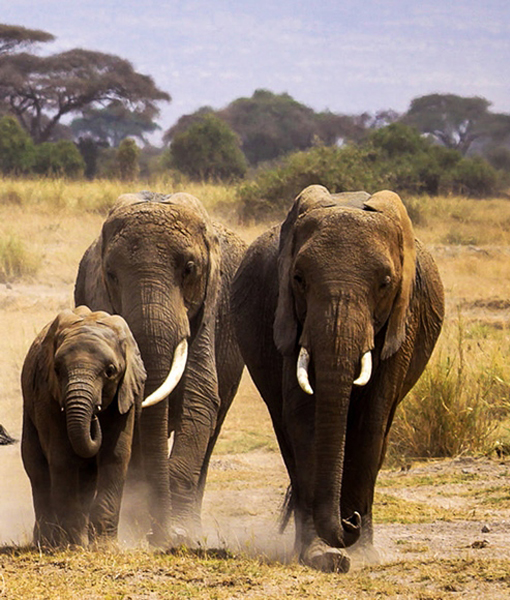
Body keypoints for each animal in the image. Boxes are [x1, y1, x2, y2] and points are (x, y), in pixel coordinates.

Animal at [21, 308, 145, 548]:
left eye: (110, 371)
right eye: (57, 370)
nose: (94, 417)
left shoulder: (127, 393)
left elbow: (116, 455)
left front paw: (104, 548)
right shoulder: (46, 393)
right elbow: (62, 456)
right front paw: (73, 546)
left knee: (88, 475)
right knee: (37, 469)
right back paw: (47, 543)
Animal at [74, 191, 246, 544]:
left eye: (190, 269)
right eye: (111, 274)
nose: (161, 537)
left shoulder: (208, 311)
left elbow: (201, 399)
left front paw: (180, 533)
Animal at [231, 184, 442, 572]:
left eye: (385, 283)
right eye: (298, 279)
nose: (349, 521)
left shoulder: (402, 322)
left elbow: (372, 419)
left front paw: (358, 555)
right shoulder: (287, 318)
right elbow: (304, 418)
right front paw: (321, 555)